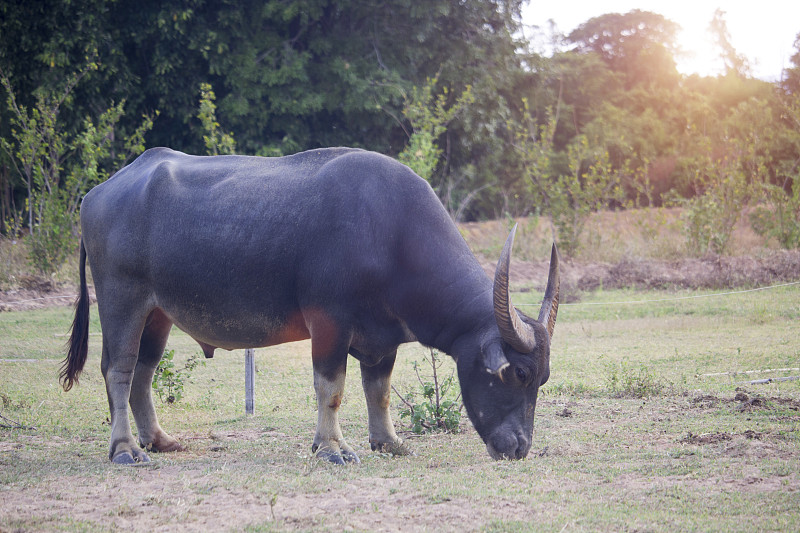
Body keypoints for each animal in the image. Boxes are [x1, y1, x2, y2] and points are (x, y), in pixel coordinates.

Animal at [59, 145, 560, 462]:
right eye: (519, 373)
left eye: (542, 379)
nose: (519, 448)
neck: (391, 234)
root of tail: (97, 194)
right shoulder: (329, 323)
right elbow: (331, 388)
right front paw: (332, 448)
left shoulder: (382, 337)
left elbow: (378, 390)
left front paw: (388, 442)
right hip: (121, 300)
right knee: (118, 370)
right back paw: (125, 450)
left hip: (158, 313)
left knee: (144, 371)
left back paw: (158, 440)